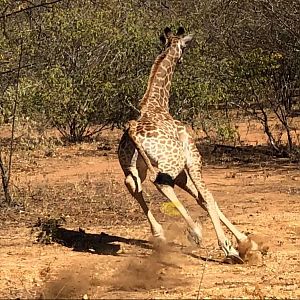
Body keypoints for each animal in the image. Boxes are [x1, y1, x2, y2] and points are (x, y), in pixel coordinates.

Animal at [117, 27, 258, 264]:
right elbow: (208, 197)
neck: (158, 104)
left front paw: (246, 243)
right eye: (184, 47)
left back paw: (160, 234)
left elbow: (202, 198)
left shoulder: (181, 173)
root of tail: (132, 130)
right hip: (171, 163)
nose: (182, 59)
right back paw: (198, 234)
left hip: (133, 167)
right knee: (161, 183)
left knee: (133, 185)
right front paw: (234, 246)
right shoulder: (191, 159)